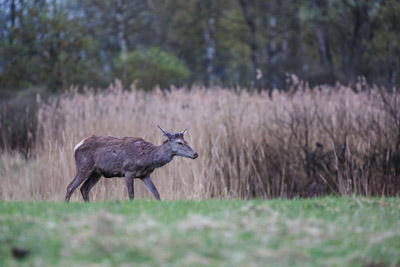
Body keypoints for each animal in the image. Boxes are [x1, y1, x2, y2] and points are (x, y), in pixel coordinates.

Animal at [64, 126, 200, 202]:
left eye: (186, 141)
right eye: (179, 142)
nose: (195, 153)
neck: (146, 159)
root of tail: (77, 146)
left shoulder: (145, 175)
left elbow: (156, 193)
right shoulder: (128, 170)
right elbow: (131, 194)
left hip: (97, 172)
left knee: (84, 189)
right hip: (84, 166)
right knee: (70, 186)